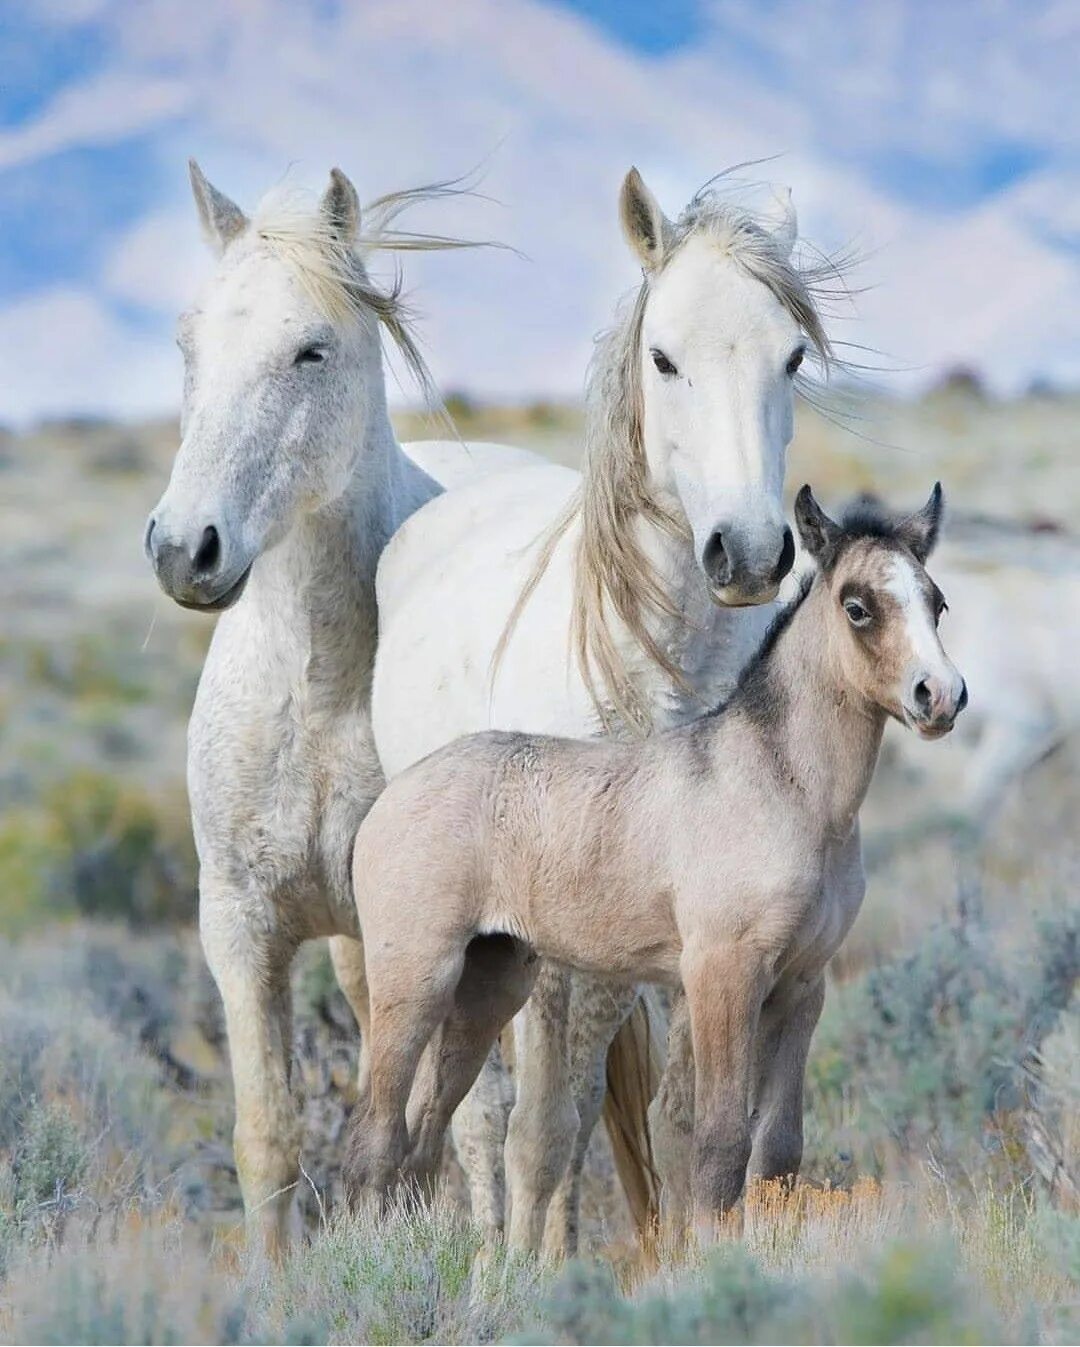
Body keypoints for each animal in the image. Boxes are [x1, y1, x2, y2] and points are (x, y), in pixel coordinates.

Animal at [142, 162, 538, 1255]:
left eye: (310, 350)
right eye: (189, 344)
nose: (184, 549)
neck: (317, 690)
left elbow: (467, 1125)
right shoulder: (240, 923)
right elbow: (271, 1138)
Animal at [366, 168, 834, 1250]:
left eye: (792, 355)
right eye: (664, 357)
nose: (751, 553)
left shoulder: (703, 938)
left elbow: (680, 1120)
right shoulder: (558, 945)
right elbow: (544, 1129)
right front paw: (522, 1272)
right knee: (482, 1114)